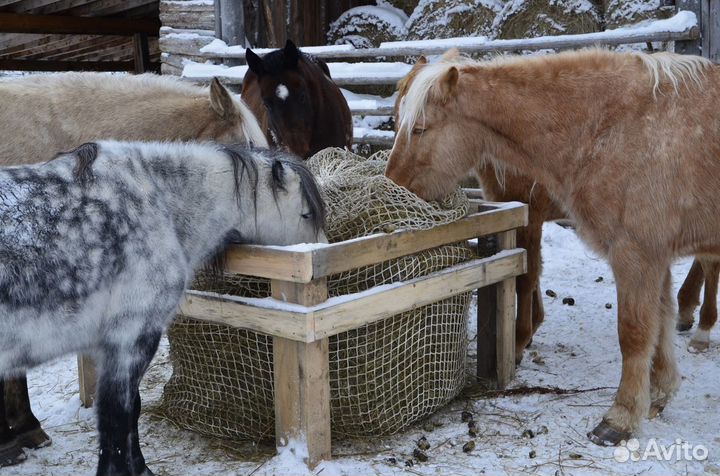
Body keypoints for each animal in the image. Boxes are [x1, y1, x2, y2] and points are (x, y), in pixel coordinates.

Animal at [0, 139, 326, 474]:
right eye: (305, 214)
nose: (323, 251)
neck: (159, 202)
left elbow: (130, 411)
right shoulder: (131, 337)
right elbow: (117, 418)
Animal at [394, 56, 568, 364]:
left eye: (419, 128)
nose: (392, 181)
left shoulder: (530, 217)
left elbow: (526, 277)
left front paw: (519, 340)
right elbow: (533, 272)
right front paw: (531, 328)